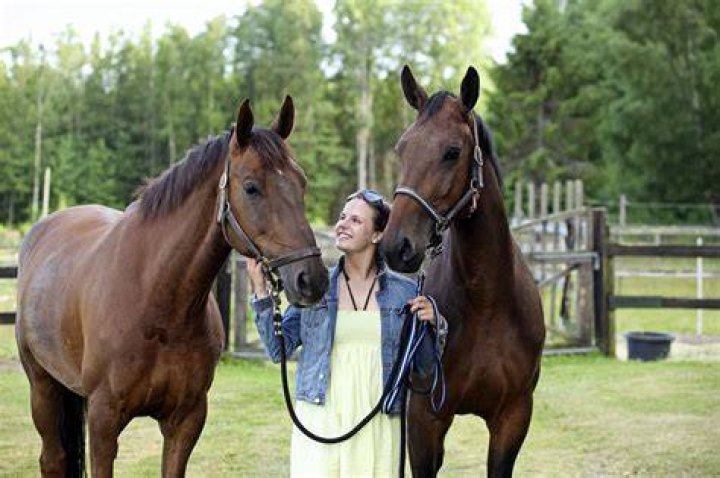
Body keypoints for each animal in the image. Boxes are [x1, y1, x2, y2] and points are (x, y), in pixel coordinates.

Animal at [15, 95, 329, 478]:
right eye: (251, 187)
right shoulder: (104, 422)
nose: (311, 279)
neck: (157, 303)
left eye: (301, 183)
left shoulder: (186, 419)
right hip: (42, 387)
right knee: (52, 459)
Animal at [382, 66, 545, 477]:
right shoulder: (424, 420)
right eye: (402, 149)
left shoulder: (513, 416)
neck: (486, 302)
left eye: (452, 152)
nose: (396, 247)